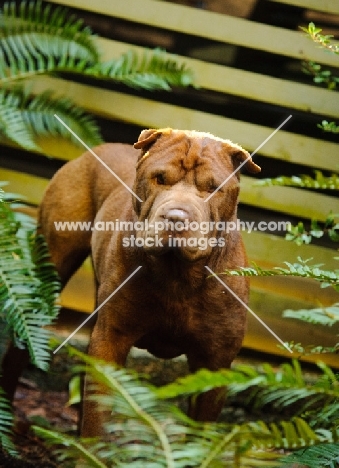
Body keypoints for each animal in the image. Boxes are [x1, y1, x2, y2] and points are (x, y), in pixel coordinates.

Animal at [35, 127, 262, 436]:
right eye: (160, 179)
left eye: (213, 188)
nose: (176, 217)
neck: (178, 276)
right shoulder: (110, 342)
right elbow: (97, 420)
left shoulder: (215, 363)